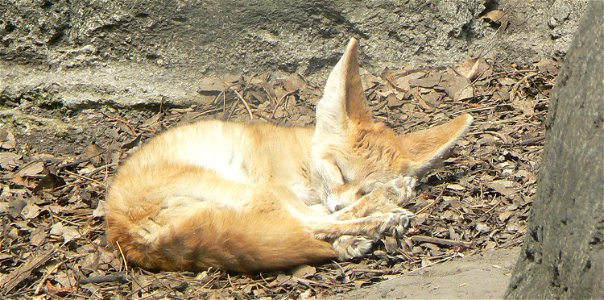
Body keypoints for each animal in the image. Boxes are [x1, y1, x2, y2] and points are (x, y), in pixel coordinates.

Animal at [105, 38, 472, 274]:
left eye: (361, 184)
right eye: (340, 172)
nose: (340, 201)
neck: (303, 159)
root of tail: (124, 233)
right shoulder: (280, 185)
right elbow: (323, 215)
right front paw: (384, 201)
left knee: (306, 226)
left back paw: (359, 232)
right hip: (251, 191)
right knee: (310, 224)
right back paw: (382, 216)